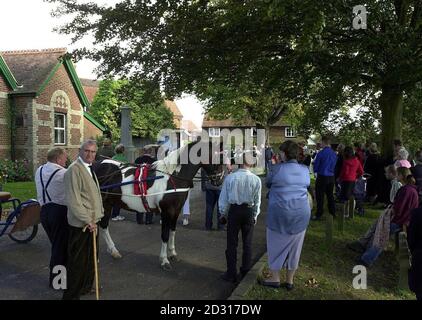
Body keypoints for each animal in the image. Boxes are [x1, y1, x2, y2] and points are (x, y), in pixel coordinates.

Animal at [92, 140, 224, 270]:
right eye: (216, 156)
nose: (220, 179)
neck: (173, 177)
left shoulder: (176, 211)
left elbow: (172, 231)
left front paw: (173, 253)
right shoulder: (166, 212)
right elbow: (165, 235)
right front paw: (164, 260)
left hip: (108, 204)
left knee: (103, 226)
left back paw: (113, 251)